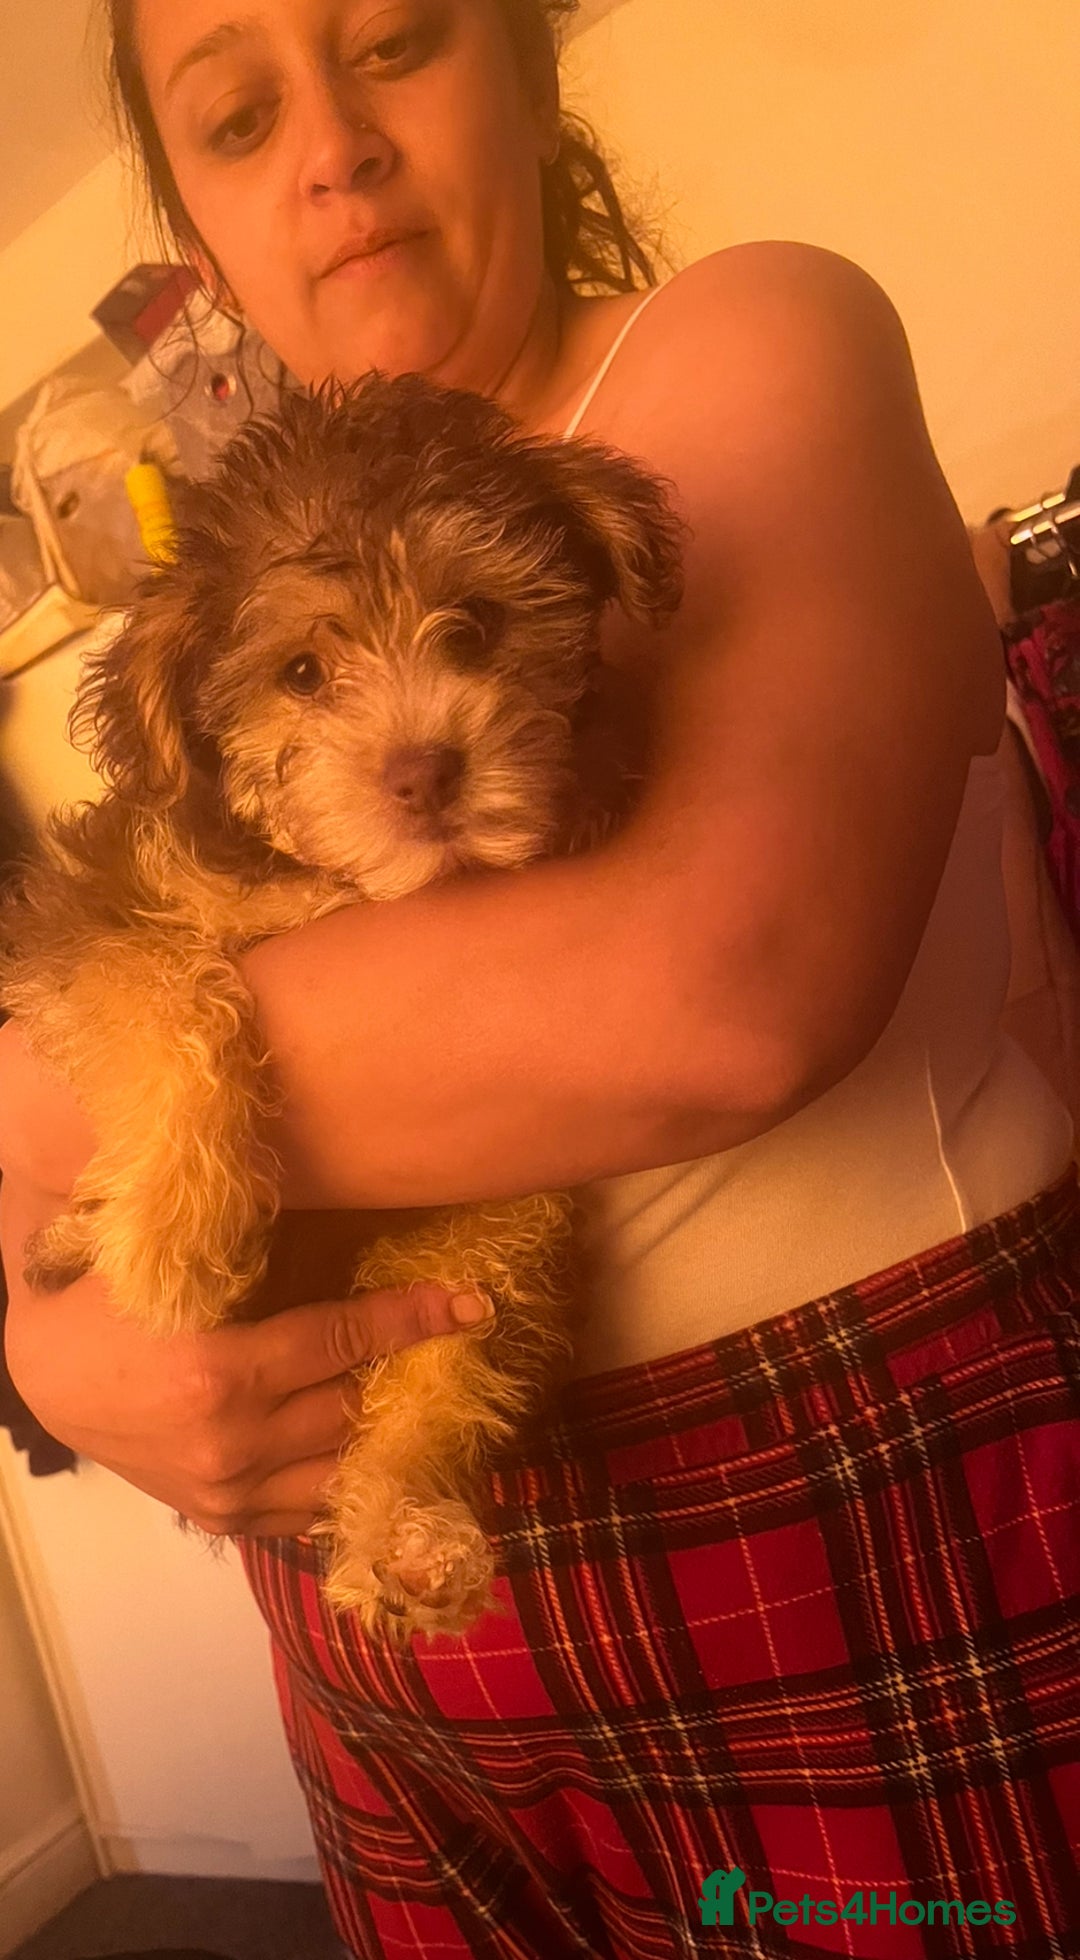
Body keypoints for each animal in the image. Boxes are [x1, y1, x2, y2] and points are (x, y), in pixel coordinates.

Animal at [0, 372, 686, 1641]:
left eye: (476, 624)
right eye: (303, 674)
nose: (425, 773)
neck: (339, 879)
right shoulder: (86, 910)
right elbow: (169, 990)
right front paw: (175, 1233)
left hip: (492, 1229)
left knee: (450, 1363)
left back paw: (408, 1535)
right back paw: (79, 1237)